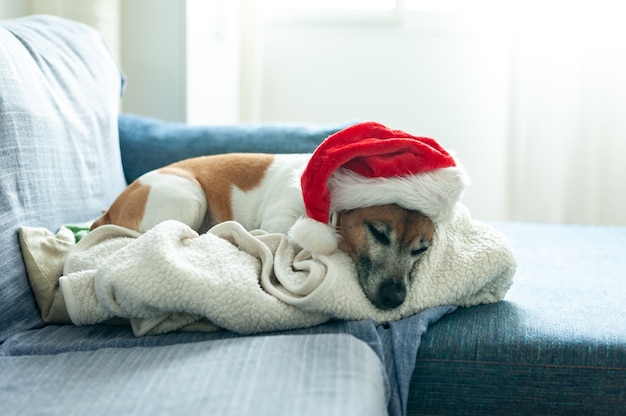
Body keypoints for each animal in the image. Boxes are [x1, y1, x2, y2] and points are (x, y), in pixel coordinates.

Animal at [91, 153, 434, 308]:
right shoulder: (280, 223)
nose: (394, 298)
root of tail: (109, 209)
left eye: (422, 249)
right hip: (188, 197)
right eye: (377, 232)